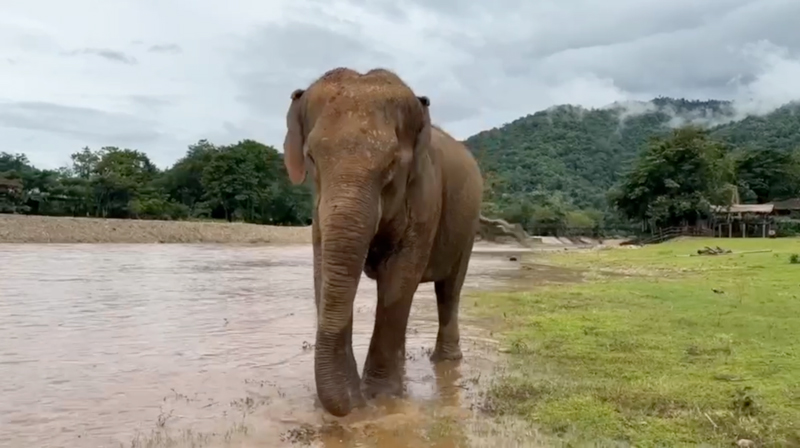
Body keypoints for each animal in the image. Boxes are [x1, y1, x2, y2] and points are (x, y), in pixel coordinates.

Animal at [282, 66, 482, 416]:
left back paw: (445, 361)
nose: (356, 403)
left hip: (468, 225)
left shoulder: (425, 197)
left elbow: (399, 279)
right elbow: (324, 269)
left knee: (449, 289)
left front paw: (382, 396)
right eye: (312, 158)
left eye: (391, 165)